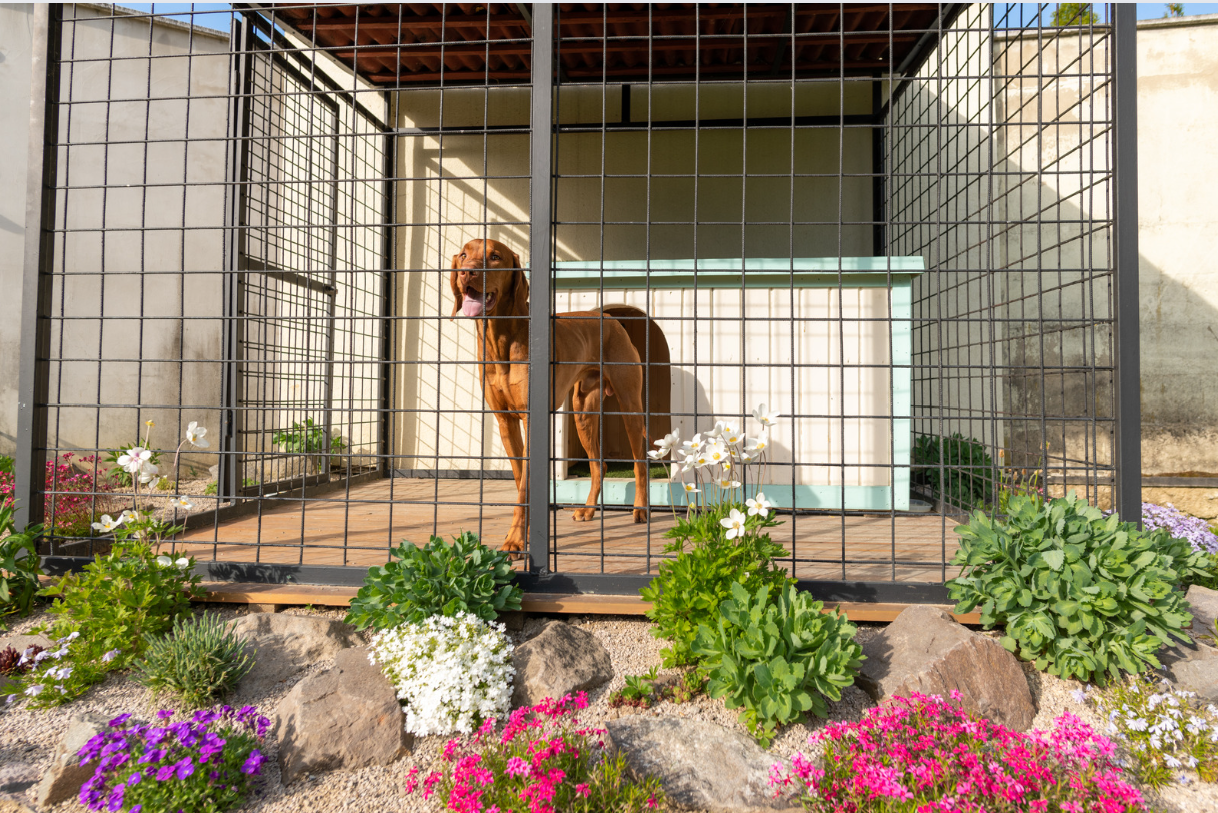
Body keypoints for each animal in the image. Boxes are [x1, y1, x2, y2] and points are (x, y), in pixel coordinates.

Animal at [453, 238, 652, 550]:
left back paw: (641, 509)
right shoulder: (505, 422)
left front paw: (515, 541)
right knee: (599, 465)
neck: (500, 339)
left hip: (630, 405)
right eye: (463, 255)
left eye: (495, 257)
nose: (468, 273)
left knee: (640, 462)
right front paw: (523, 533)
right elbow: (521, 479)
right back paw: (588, 509)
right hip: (583, 410)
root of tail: (608, 316)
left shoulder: (530, 420)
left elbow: (525, 486)